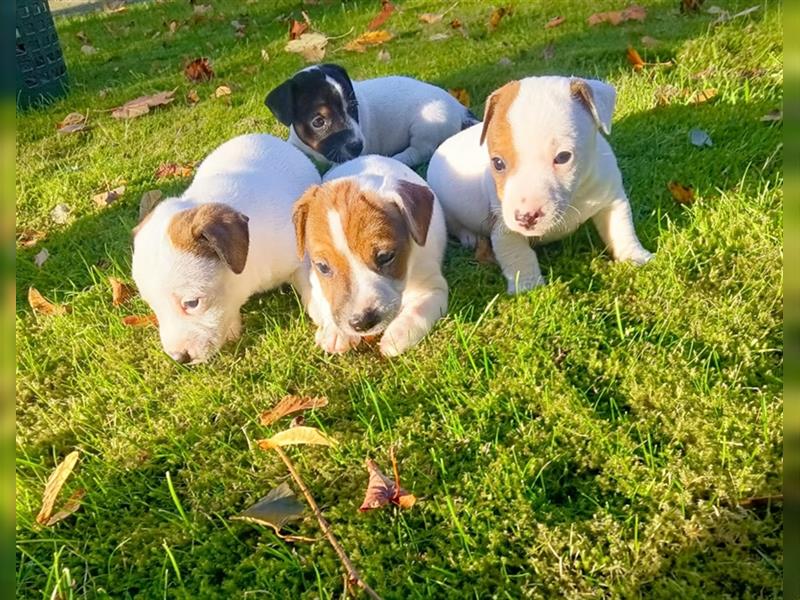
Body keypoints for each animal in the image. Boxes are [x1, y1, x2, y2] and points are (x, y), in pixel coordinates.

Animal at [264, 64, 476, 169]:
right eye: (318, 121)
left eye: (353, 107)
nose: (358, 146)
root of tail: (459, 109)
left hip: (426, 127)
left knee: (420, 151)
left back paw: (399, 158)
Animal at [292, 155, 446, 356]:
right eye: (323, 267)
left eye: (385, 256)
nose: (361, 322)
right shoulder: (314, 283)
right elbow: (326, 302)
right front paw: (336, 332)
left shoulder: (435, 288)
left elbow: (419, 309)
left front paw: (399, 334)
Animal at [428, 76, 652, 294]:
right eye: (497, 163)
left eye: (563, 157)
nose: (526, 217)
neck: (575, 197)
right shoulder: (503, 227)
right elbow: (517, 254)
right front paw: (528, 288)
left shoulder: (611, 198)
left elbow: (621, 228)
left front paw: (635, 256)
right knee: (455, 225)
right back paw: (469, 237)